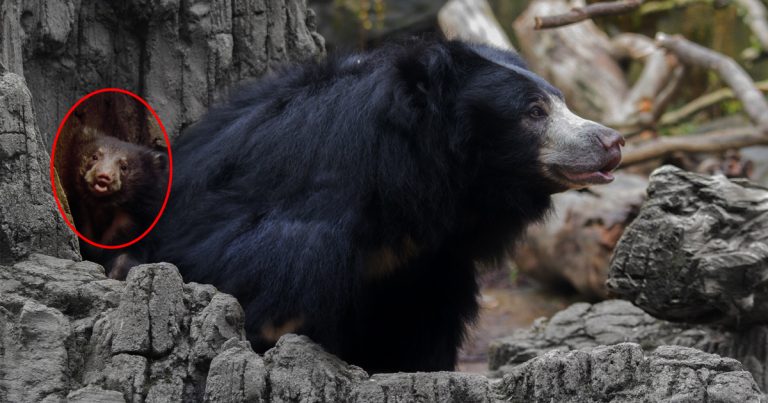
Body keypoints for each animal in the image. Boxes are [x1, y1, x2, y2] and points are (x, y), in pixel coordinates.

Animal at [148, 39, 624, 374]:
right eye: (533, 111)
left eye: (561, 100)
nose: (612, 141)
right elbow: (271, 299)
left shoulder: (425, 266)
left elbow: (421, 329)